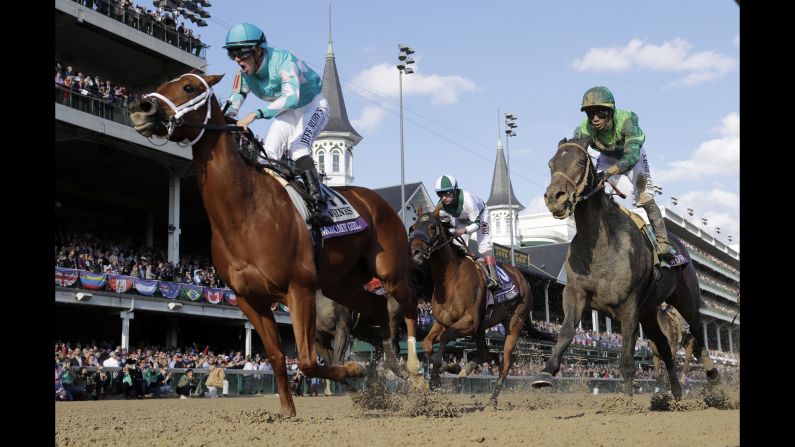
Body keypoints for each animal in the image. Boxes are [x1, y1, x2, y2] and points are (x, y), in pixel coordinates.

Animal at [131, 74, 426, 416]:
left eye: (189, 87)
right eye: (164, 84)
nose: (142, 108)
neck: (245, 211)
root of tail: (379, 201)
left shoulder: (299, 289)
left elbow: (308, 361)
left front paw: (354, 369)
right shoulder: (250, 299)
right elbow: (277, 356)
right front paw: (289, 410)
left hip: (391, 272)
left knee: (409, 308)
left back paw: (414, 372)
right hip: (343, 285)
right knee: (378, 310)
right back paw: (389, 369)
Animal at [408, 213, 552, 406]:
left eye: (432, 227)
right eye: (413, 227)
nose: (415, 252)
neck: (451, 281)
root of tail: (523, 279)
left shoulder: (469, 322)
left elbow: (445, 338)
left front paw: (449, 367)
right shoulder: (441, 322)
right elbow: (427, 343)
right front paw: (448, 370)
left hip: (514, 323)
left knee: (504, 364)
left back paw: (492, 399)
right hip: (482, 329)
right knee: (485, 354)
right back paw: (464, 372)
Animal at [528, 137, 720, 400]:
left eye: (580, 161)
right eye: (551, 163)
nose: (554, 197)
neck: (599, 242)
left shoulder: (629, 304)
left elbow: (628, 358)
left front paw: (627, 400)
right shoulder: (575, 292)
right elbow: (566, 331)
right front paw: (545, 372)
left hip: (685, 298)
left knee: (698, 331)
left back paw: (712, 374)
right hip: (649, 311)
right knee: (664, 346)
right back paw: (677, 390)